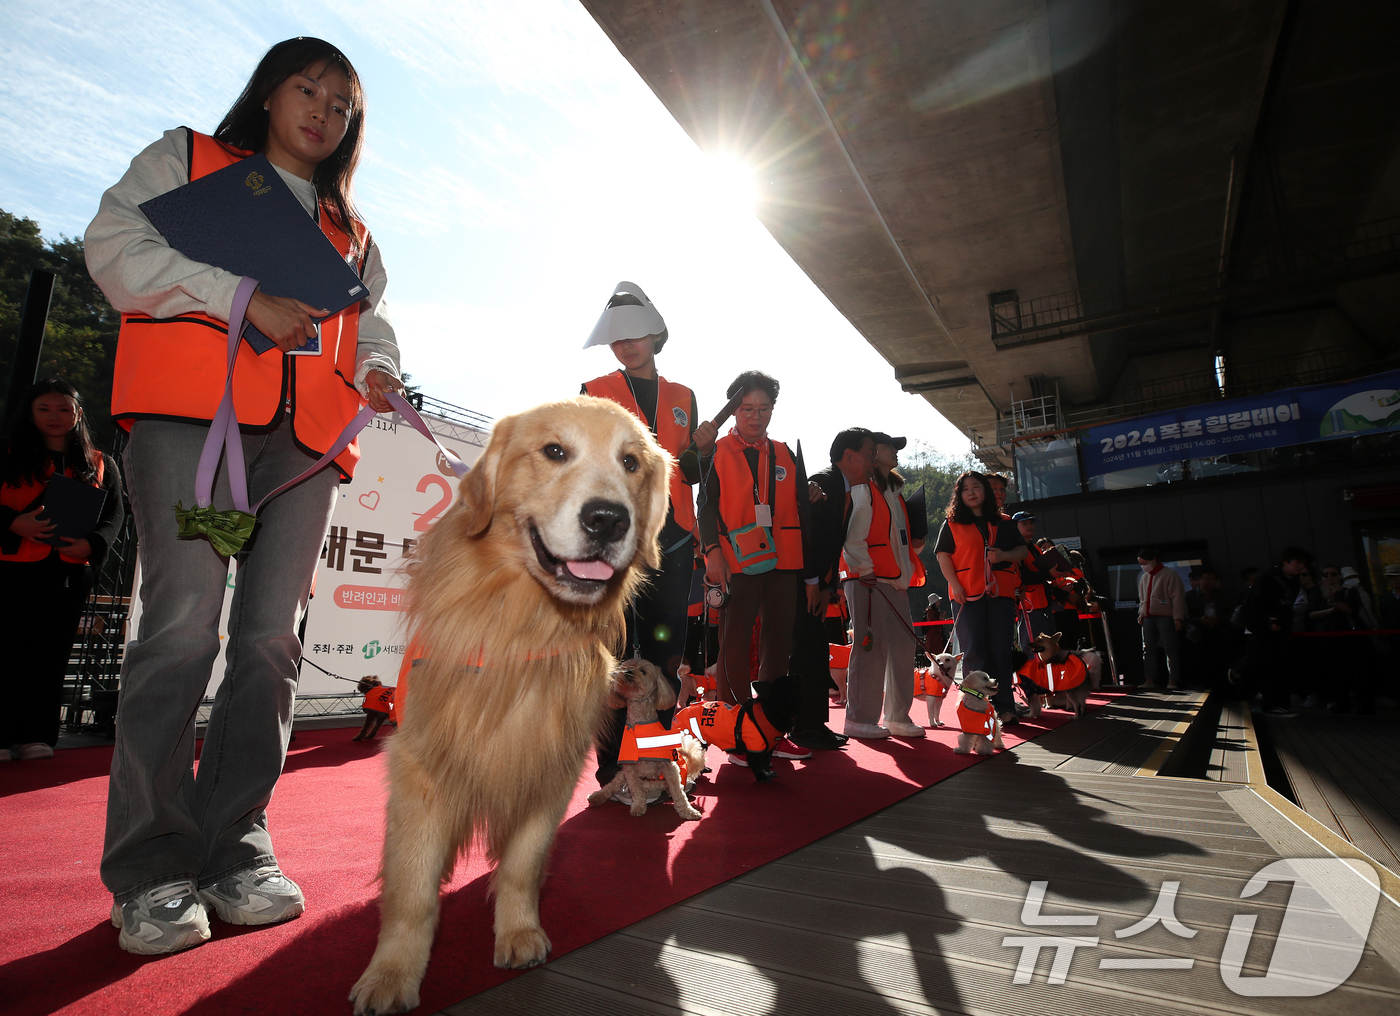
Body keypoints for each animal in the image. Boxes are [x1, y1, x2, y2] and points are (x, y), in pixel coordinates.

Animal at [355, 397, 672, 1016]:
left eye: (630, 462)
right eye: (554, 451)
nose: (608, 520)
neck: (523, 622)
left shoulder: (551, 765)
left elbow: (524, 863)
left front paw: (518, 931)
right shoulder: (421, 766)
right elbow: (412, 887)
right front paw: (393, 973)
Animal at [588, 660, 705, 817]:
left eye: (643, 671)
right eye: (624, 667)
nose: (628, 672)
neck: (641, 724)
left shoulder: (669, 767)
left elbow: (678, 793)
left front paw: (687, 811)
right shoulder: (629, 767)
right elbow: (635, 789)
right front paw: (638, 806)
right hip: (623, 775)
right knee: (612, 786)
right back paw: (598, 797)